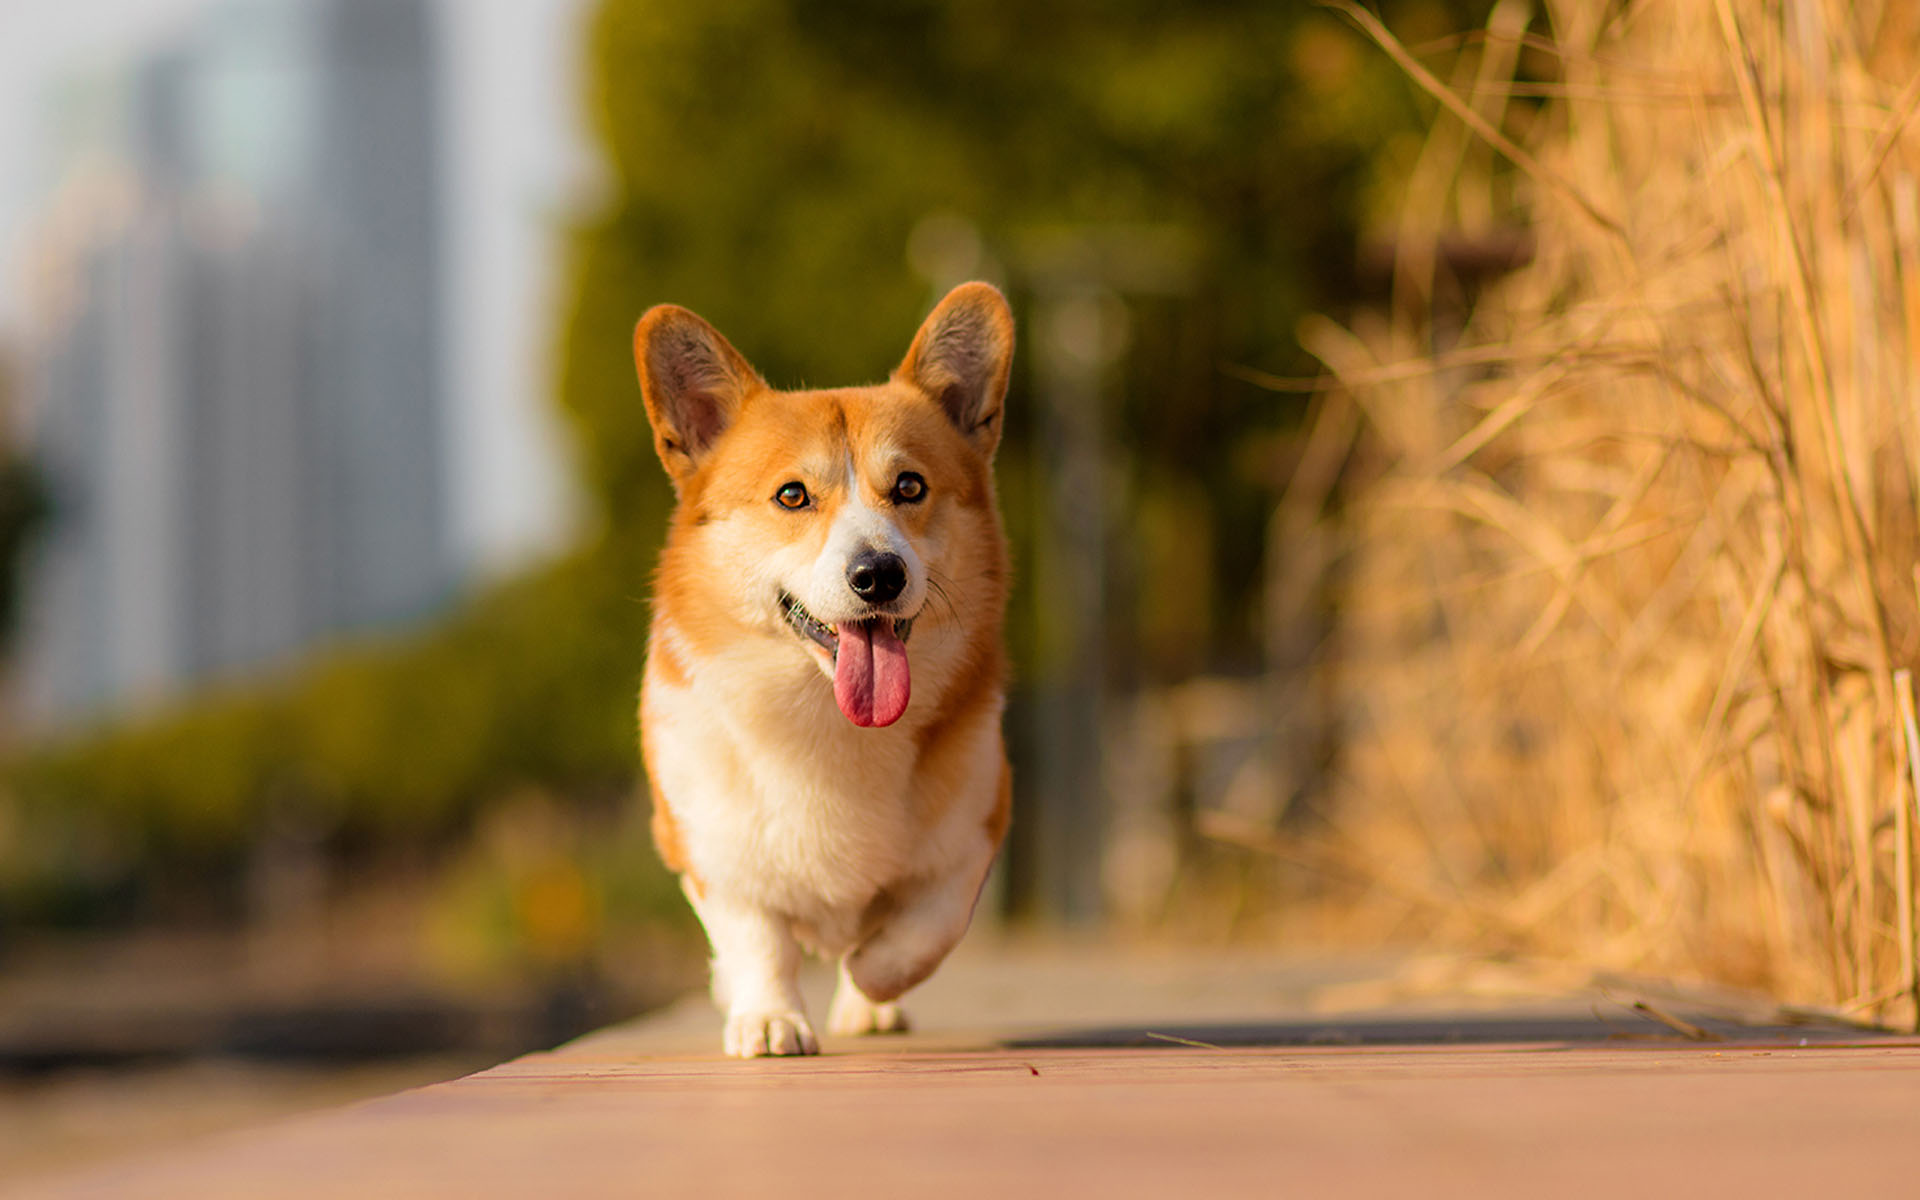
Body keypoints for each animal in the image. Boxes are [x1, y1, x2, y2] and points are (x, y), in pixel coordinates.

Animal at [633, 286, 1021, 1052]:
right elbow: (758, 940)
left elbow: (921, 933)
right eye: (792, 496)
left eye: (910, 486)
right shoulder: (707, 851)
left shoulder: (976, 831)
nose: (879, 574)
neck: (828, 716)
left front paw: (871, 980)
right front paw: (768, 1019)